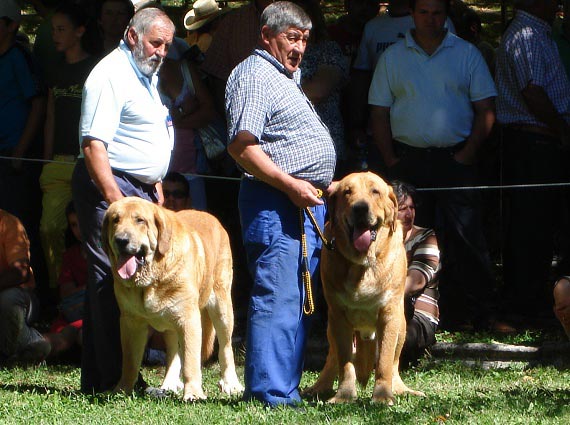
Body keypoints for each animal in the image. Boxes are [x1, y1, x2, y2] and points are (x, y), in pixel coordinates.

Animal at [101, 197, 242, 400]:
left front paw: (193, 394)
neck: (151, 280)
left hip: (221, 307)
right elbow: (129, 362)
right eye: (115, 220)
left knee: (225, 346)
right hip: (170, 323)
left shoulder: (188, 319)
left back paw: (230, 383)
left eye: (140, 220)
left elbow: (191, 360)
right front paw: (122, 389)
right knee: (174, 352)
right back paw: (169, 383)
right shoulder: (131, 322)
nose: (121, 240)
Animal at [306, 171, 422, 402]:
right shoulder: (338, 316)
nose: (360, 208)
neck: (362, 264)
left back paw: (401, 389)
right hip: (331, 329)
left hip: (402, 326)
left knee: (394, 362)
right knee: (332, 359)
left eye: (375, 191)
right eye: (347, 192)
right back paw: (319, 388)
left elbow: (385, 361)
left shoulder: (389, 314)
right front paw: (344, 396)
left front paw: (382, 396)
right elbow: (345, 363)